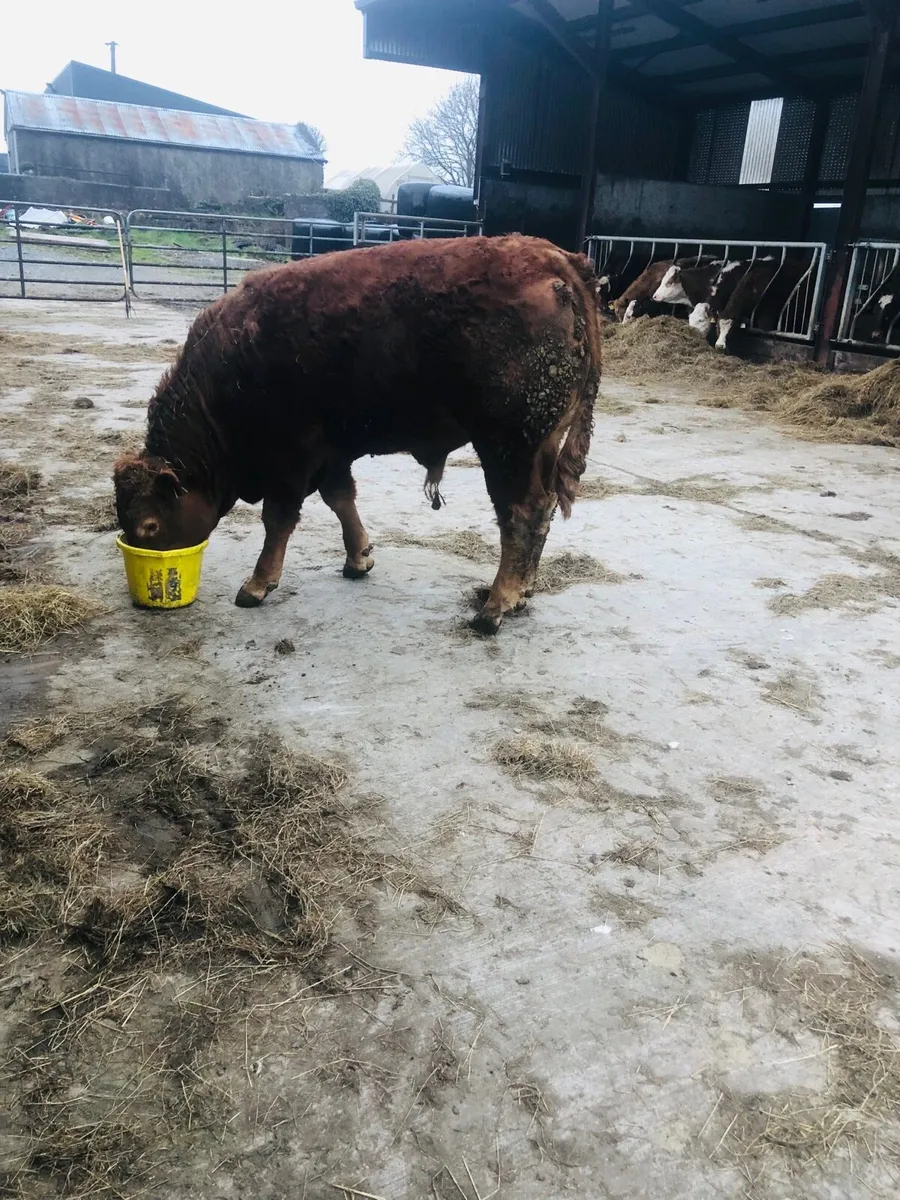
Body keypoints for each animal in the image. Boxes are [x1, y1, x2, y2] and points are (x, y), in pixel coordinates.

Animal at [113, 235, 601, 635]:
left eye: (151, 524)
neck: (227, 372)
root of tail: (556, 258)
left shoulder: (290, 458)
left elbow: (278, 519)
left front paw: (256, 585)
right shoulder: (331, 454)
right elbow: (341, 500)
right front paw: (358, 558)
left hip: (507, 447)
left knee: (521, 515)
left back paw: (495, 607)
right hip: (538, 446)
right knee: (541, 512)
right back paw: (522, 592)